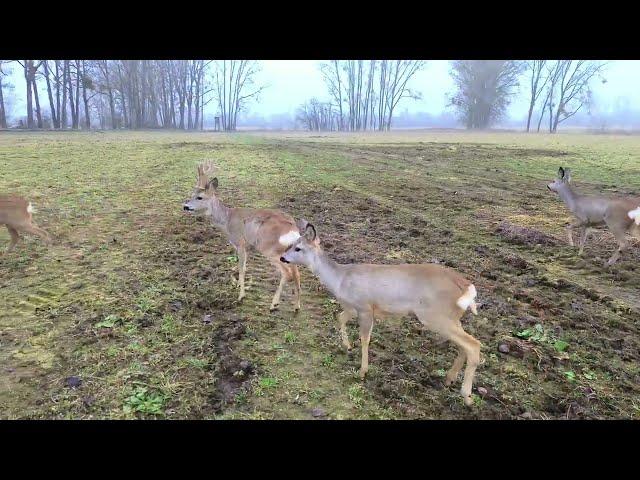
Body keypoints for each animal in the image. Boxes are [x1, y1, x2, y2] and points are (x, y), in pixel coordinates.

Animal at [184, 161, 304, 312]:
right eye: (192, 194)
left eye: (200, 197)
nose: (185, 206)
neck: (227, 220)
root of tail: (292, 228)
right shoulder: (246, 247)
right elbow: (242, 267)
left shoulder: (240, 242)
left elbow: (241, 269)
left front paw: (240, 296)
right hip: (287, 249)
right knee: (296, 273)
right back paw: (296, 306)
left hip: (269, 248)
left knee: (287, 273)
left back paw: (274, 304)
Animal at [280, 220, 480, 404]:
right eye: (291, 244)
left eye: (298, 248)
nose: (282, 258)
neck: (340, 280)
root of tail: (465, 285)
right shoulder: (352, 308)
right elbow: (340, 318)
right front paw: (347, 346)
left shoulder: (365, 307)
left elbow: (365, 338)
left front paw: (362, 371)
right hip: (451, 317)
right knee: (464, 345)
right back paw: (449, 379)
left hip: (434, 316)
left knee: (473, 344)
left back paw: (467, 396)